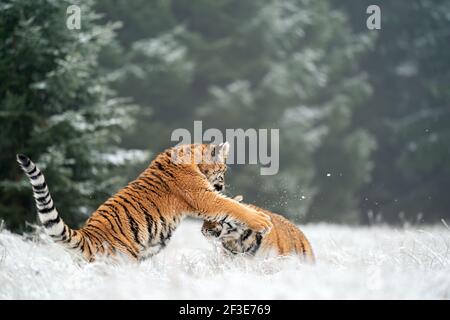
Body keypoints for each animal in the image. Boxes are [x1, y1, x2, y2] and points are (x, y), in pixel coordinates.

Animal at [16, 143, 270, 262]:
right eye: (223, 171)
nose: (222, 186)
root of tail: (88, 235)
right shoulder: (203, 196)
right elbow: (231, 206)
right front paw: (263, 221)